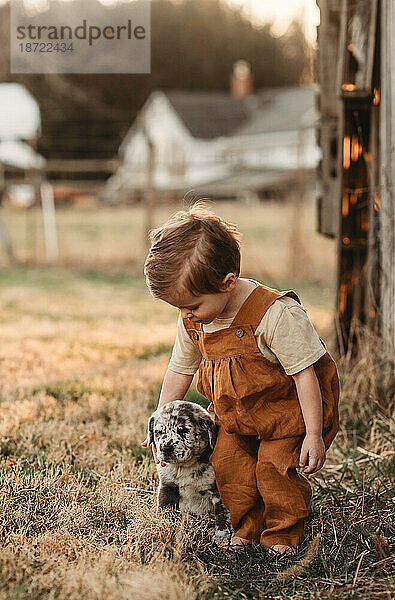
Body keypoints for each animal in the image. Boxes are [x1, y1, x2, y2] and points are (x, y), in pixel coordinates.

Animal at [146, 398, 232, 544]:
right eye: (160, 432)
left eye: (183, 431)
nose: (166, 449)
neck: (182, 468)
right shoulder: (167, 487)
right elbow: (164, 508)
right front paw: (163, 526)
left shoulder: (217, 490)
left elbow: (221, 513)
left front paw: (222, 536)